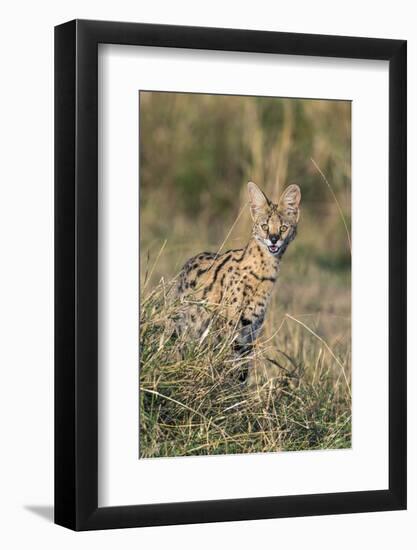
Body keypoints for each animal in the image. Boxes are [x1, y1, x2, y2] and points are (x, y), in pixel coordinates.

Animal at [173, 183, 300, 382]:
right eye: (265, 226)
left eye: (283, 227)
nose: (273, 239)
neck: (264, 273)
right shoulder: (230, 329)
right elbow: (229, 365)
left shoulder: (250, 332)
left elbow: (242, 372)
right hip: (189, 326)